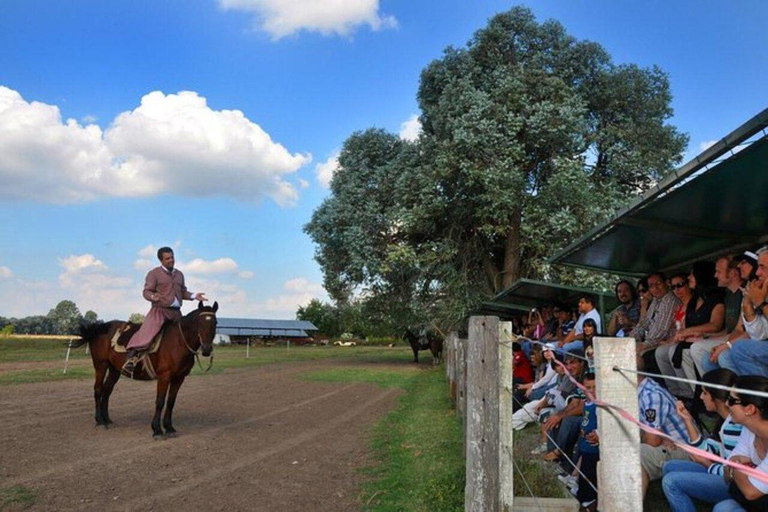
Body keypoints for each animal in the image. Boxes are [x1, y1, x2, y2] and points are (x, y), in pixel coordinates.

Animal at [72, 302, 218, 438]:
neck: (178, 341)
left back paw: (106, 419)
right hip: (101, 365)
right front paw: (157, 430)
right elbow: (160, 401)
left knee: (106, 391)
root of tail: (100, 328)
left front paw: (169, 428)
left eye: (215, 323)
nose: (206, 349)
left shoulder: (179, 378)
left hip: (114, 370)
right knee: (98, 390)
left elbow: (171, 402)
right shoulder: (164, 377)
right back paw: (100, 421)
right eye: (199, 322)